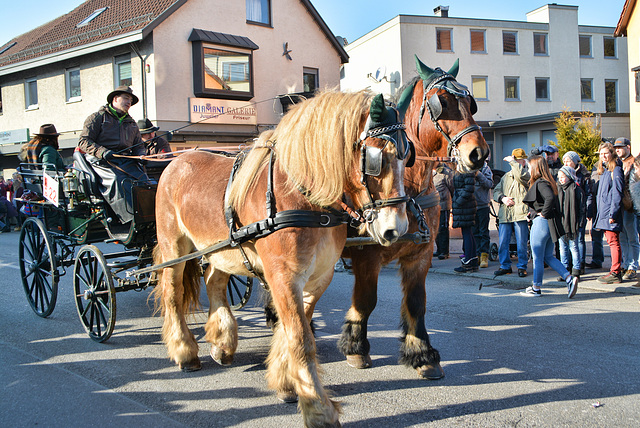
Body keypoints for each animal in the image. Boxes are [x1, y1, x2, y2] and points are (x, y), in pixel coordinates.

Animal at [151, 88, 410, 426]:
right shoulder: (283, 277)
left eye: (408, 156)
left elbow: (294, 330)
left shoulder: (318, 277)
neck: (306, 200)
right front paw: (318, 408)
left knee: (214, 283)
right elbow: (300, 337)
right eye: (378, 157)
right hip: (175, 247)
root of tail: (178, 160)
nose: (397, 229)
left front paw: (286, 384)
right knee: (173, 293)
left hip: (222, 250)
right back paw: (184, 351)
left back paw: (222, 343)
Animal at [338, 56, 492, 378]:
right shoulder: (367, 256)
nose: (479, 154)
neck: (407, 190)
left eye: (470, 102)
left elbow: (416, 301)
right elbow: (366, 301)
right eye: (441, 102)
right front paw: (355, 346)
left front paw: (422, 353)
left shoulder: (421, 253)